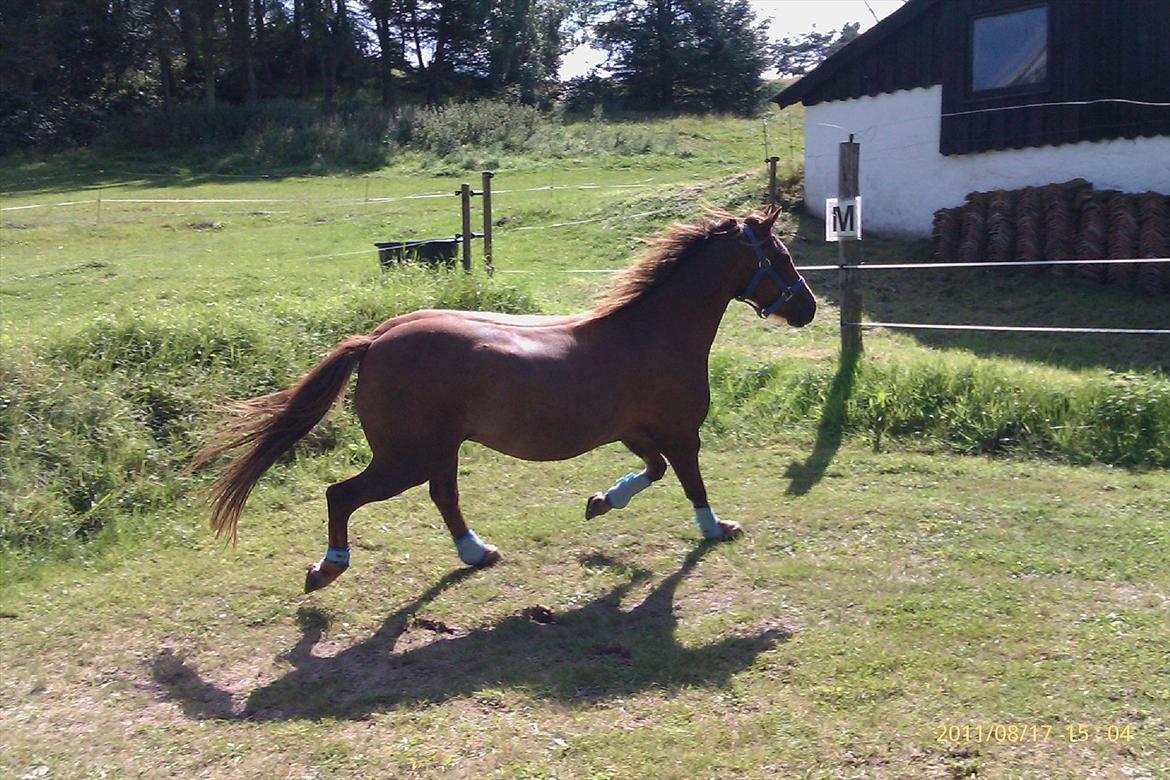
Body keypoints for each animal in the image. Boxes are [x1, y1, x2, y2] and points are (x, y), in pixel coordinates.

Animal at [193, 208, 816, 593]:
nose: (807, 309)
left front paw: (601, 501)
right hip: (405, 457)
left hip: (436, 451)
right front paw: (717, 528)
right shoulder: (680, 431)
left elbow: (653, 472)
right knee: (343, 495)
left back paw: (476, 552)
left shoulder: (635, 433)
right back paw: (328, 568)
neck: (653, 332)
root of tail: (375, 340)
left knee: (442, 497)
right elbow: (691, 482)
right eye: (781, 258)